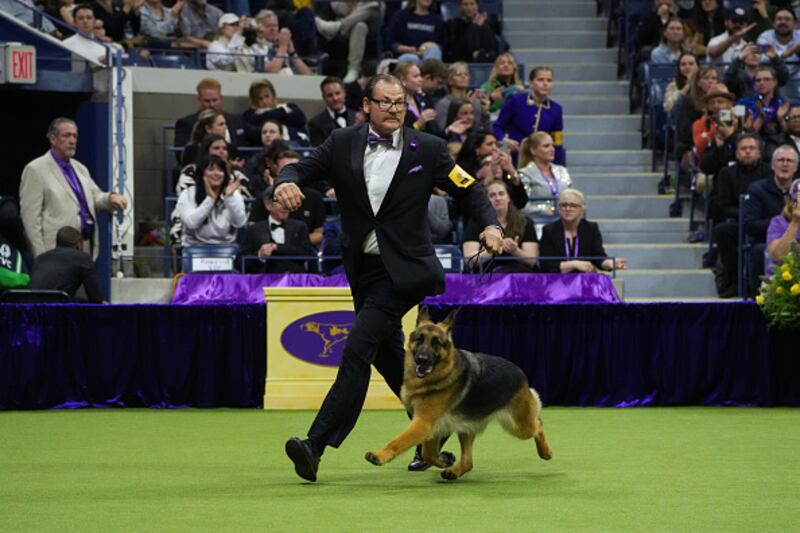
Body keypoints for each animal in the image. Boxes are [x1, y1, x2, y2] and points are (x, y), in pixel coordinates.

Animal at [366, 306, 552, 480]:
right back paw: (453, 472)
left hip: (519, 426)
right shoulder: (431, 425)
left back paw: (546, 452)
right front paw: (443, 460)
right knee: (468, 461)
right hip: (467, 427)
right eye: (419, 339)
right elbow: (428, 452)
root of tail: (520, 372)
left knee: (538, 424)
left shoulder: (424, 423)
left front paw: (380, 455)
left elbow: (399, 441)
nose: (422, 359)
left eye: (436, 342)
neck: (437, 376)